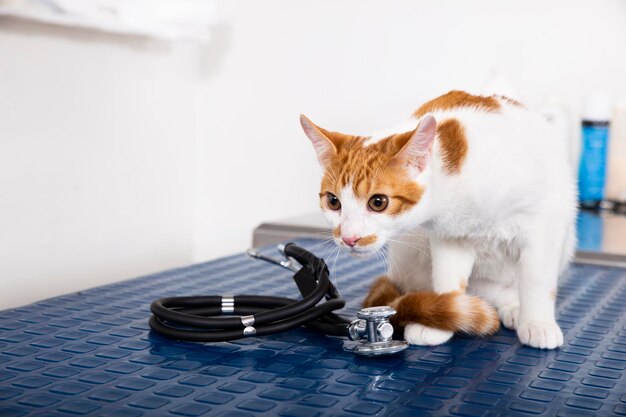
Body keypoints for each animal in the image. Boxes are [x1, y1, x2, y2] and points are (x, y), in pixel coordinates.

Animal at [300, 90, 576, 348]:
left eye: (378, 202)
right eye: (333, 202)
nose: (349, 238)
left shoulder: (544, 223)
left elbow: (537, 282)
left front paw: (538, 322)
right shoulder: (451, 237)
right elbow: (447, 280)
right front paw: (442, 317)